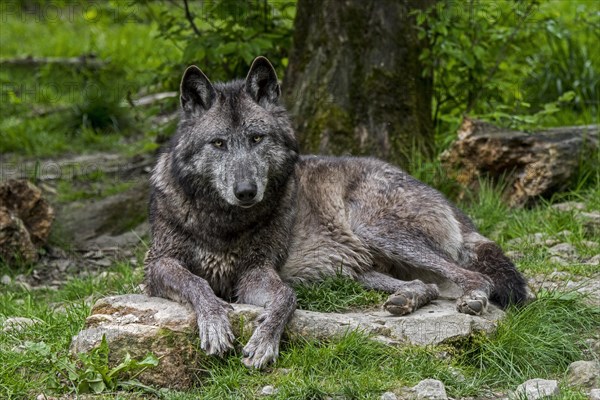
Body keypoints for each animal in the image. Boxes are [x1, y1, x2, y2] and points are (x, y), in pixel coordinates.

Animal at [143, 55, 528, 368]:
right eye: (219, 143)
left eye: (257, 138)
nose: (246, 192)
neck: (224, 222)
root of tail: (446, 200)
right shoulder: (158, 265)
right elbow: (197, 283)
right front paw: (216, 323)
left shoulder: (254, 272)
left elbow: (286, 296)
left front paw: (264, 342)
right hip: (353, 271)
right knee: (426, 285)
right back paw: (406, 298)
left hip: (375, 231)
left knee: (475, 277)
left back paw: (472, 297)